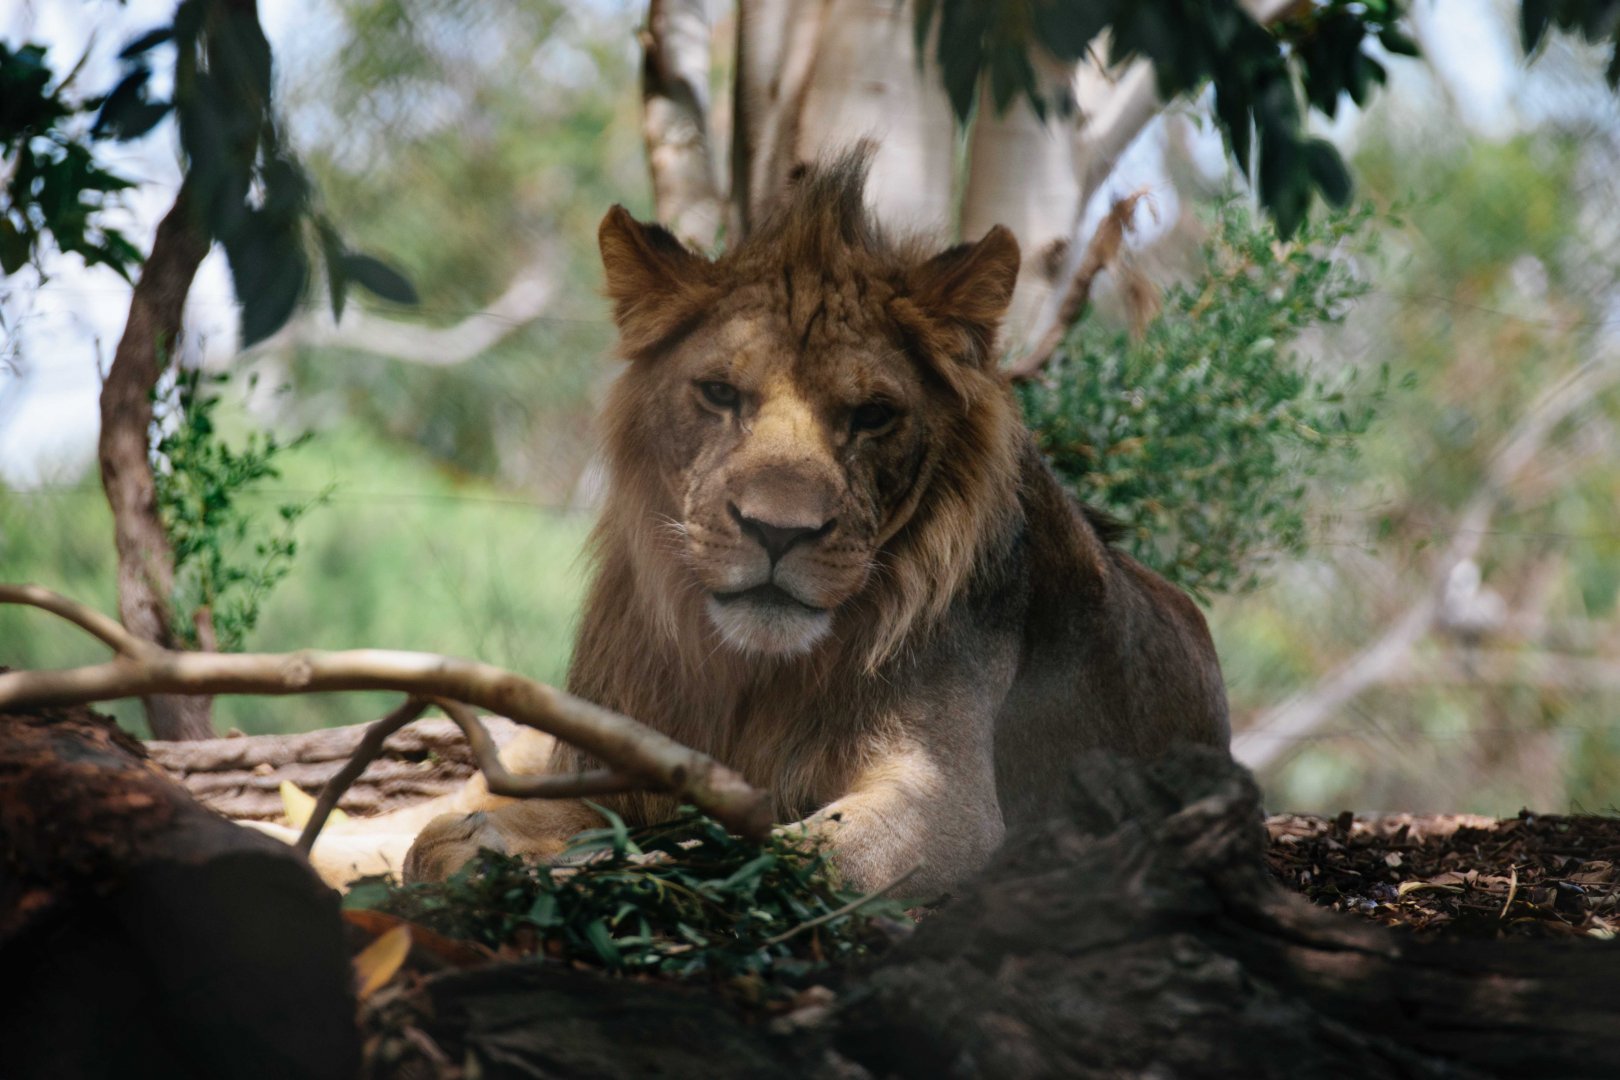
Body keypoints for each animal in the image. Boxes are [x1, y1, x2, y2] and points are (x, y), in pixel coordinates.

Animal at [401, 150, 1230, 897]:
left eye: (872, 415)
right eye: (719, 393)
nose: (778, 532)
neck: (757, 676)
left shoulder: (947, 802)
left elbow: (793, 855)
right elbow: (445, 835)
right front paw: (489, 844)